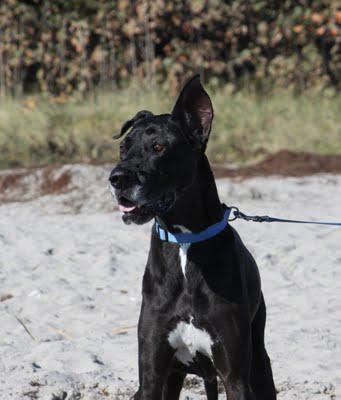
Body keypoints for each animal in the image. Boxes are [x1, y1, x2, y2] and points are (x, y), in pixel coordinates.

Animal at [109, 76, 276, 400]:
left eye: (159, 146)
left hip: (259, 366)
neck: (184, 242)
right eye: (123, 147)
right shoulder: (152, 375)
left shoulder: (235, 376)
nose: (117, 178)